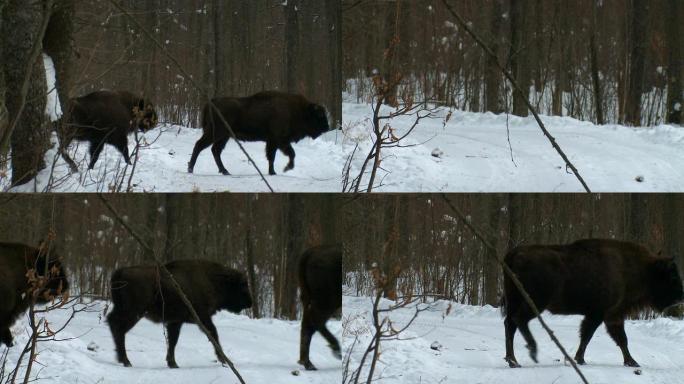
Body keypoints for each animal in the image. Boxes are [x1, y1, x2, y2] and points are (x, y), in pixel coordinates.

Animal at [108, 260, 252, 368]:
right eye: (243, 286)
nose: (250, 303)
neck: (213, 280)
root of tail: (120, 272)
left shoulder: (175, 322)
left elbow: (173, 341)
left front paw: (172, 363)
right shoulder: (202, 317)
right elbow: (213, 334)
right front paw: (225, 360)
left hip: (124, 310)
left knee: (112, 322)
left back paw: (122, 359)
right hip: (134, 312)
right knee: (119, 328)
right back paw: (126, 361)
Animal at [187, 90, 332, 176]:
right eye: (320, 115)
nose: (327, 127)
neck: (300, 111)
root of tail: (211, 103)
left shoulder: (272, 142)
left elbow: (272, 156)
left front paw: (272, 172)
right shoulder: (279, 140)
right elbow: (290, 153)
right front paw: (286, 168)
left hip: (224, 136)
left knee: (215, 150)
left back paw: (225, 171)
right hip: (216, 133)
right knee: (200, 145)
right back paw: (191, 169)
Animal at [502, 238, 684, 368]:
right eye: (672, 276)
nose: (681, 296)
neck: (642, 269)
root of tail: (514, 254)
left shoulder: (609, 315)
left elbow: (615, 338)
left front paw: (630, 362)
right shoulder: (601, 314)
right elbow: (594, 335)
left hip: (515, 301)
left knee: (510, 324)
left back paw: (513, 361)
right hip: (534, 302)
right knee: (519, 320)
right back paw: (531, 351)